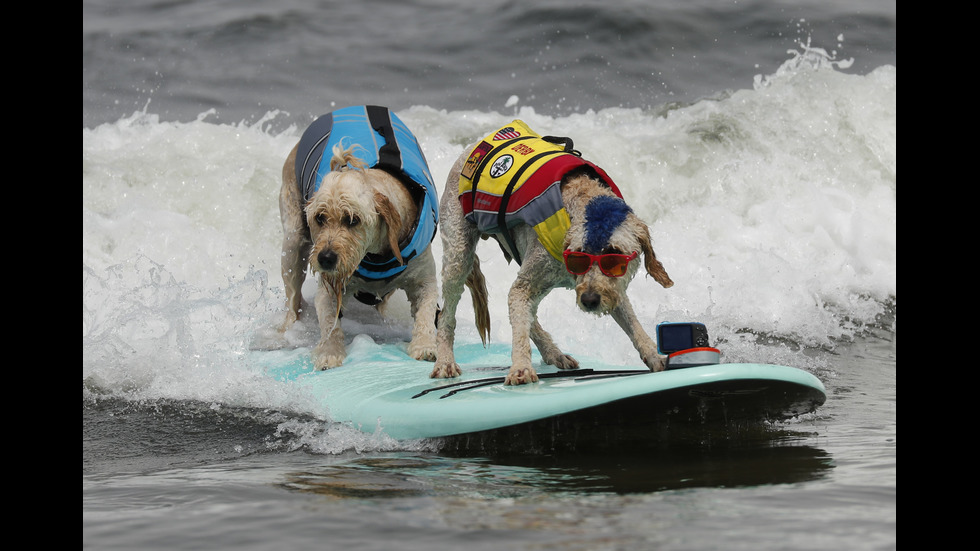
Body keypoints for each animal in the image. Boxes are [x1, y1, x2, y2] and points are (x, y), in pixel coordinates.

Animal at [278, 106, 442, 370]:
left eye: (353, 219)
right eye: (320, 218)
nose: (325, 258)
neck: (378, 256)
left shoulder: (423, 280)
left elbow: (426, 312)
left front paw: (425, 345)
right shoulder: (328, 288)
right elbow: (330, 323)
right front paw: (330, 352)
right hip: (292, 243)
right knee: (292, 299)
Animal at [436, 121, 672, 386]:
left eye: (614, 256)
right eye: (579, 255)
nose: (589, 300)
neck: (584, 203)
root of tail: (471, 148)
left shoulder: (612, 288)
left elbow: (632, 323)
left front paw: (654, 355)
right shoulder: (529, 281)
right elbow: (518, 317)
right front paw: (520, 366)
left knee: (528, 314)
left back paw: (553, 352)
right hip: (458, 252)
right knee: (447, 314)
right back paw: (444, 361)